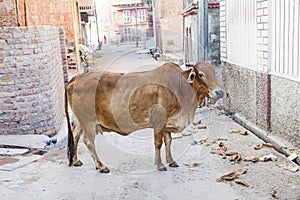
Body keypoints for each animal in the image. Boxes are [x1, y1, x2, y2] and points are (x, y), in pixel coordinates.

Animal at [65, 61, 223, 173]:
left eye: (214, 72)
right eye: (201, 74)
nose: (220, 92)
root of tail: (78, 78)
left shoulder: (168, 124)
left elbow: (168, 141)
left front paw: (171, 161)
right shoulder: (159, 121)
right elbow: (158, 143)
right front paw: (160, 165)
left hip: (80, 121)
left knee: (75, 136)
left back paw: (75, 161)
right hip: (88, 122)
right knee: (88, 141)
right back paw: (101, 166)